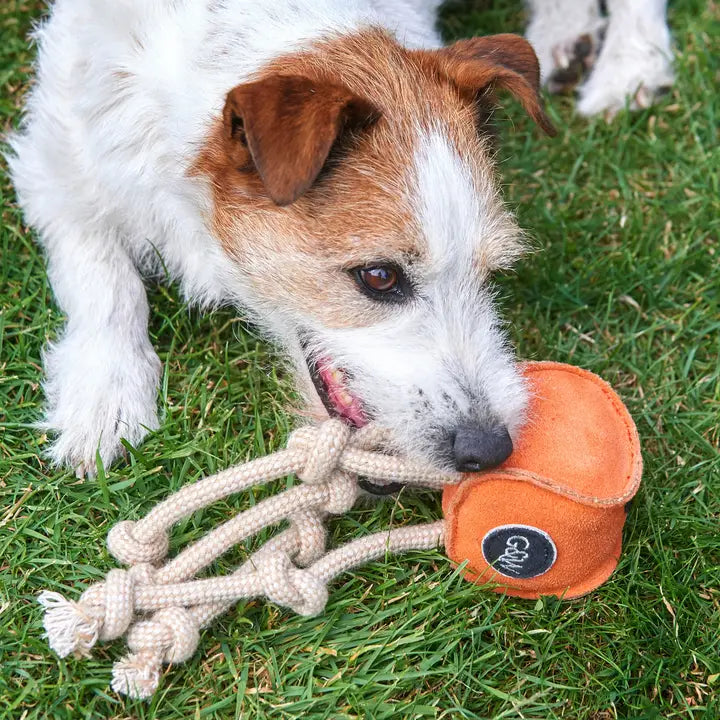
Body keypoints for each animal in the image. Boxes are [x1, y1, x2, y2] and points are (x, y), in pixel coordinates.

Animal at [9, 0, 676, 478]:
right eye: (378, 277)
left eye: (489, 273)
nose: (490, 450)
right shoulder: (53, 166)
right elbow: (104, 281)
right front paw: (105, 396)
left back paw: (628, 62)